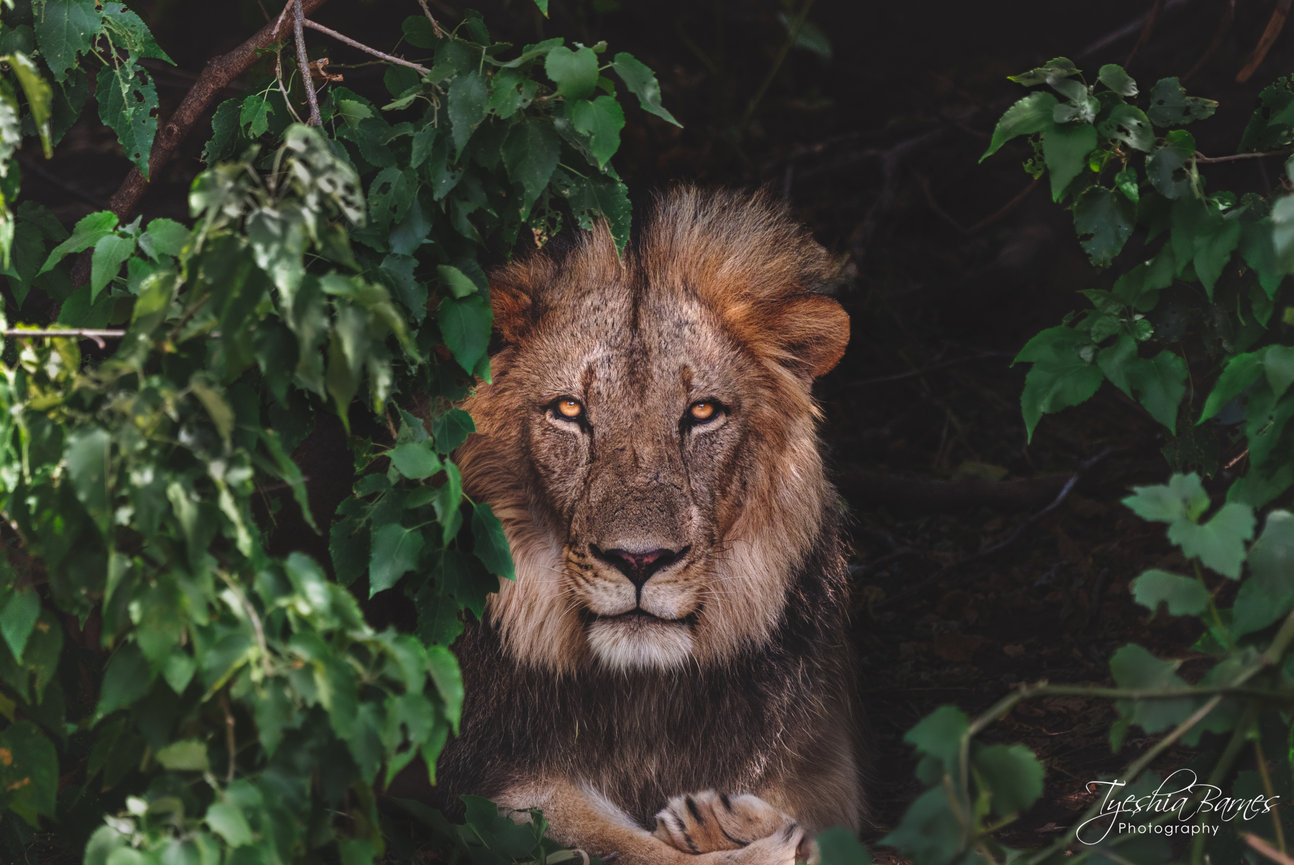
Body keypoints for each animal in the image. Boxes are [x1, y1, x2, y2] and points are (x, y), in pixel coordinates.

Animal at [436, 187, 862, 864]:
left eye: (703, 412)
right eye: (569, 410)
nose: (640, 560)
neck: (645, 698)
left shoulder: (822, 767)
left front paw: (730, 820)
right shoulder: (487, 780)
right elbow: (621, 844)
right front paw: (739, 837)